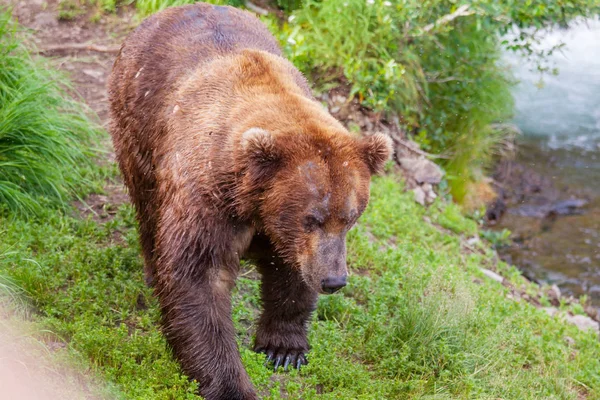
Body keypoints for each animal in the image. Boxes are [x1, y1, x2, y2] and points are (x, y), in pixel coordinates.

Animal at [108, 3, 392, 400]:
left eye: (350, 217)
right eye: (312, 217)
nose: (334, 280)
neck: (254, 203)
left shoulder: (283, 233)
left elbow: (291, 272)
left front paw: (283, 348)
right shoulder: (209, 202)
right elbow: (199, 278)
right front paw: (232, 384)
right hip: (137, 123)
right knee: (147, 206)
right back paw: (152, 269)